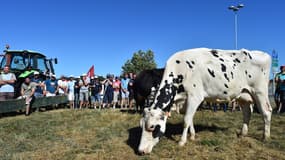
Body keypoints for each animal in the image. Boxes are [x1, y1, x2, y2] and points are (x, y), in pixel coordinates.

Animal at [139, 47, 272, 154]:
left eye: (152, 127)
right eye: (141, 125)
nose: (140, 151)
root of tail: (263, 53)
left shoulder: (195, 96)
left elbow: (186, 120)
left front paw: (182, 141)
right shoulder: (186, 100)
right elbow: (190, 119)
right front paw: (192, 136)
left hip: (260, 92)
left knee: (266, 112)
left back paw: (265, 137)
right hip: (243, 95)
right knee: (247, 112)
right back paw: (242, 133)